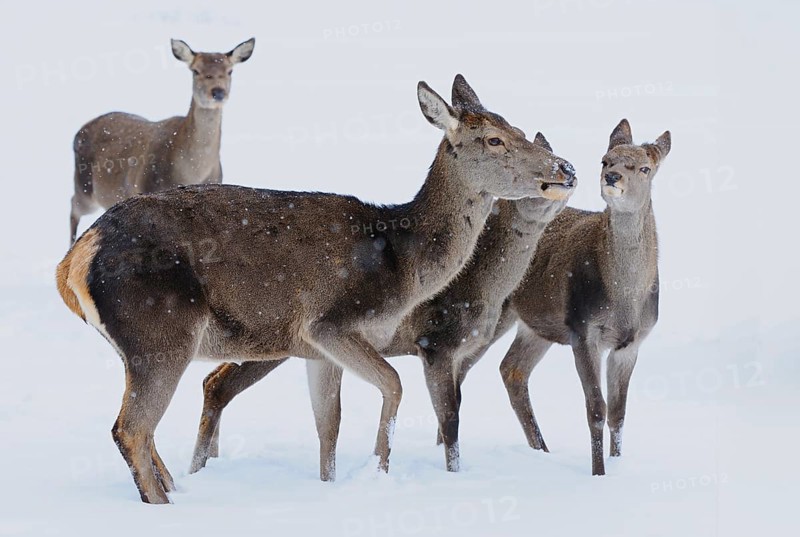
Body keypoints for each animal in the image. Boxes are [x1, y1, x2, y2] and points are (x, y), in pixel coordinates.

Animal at [69, 37, 255, 244]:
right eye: (195, 70)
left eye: (230, 70)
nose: (218, 92)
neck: (192, 172)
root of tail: (79, 131)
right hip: (85, 186)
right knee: (73, 206)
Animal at [189, 132, 575, 476]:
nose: (568, 173)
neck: (486, 292)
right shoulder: (436, 341)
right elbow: (450, 418)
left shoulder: (468, 351)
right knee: (218, 383)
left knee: (214, 381)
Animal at [498, 119, 671, 475]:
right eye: (605, 160)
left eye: (644, 167)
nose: (613, 177)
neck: (625, 302)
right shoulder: (583, 330)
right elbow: (596, 410)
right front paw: (598, 472)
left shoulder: (631, 343)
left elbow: (619, 413)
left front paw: (616, 464)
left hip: (535, 327)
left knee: (512, 370)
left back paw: (541, 450)